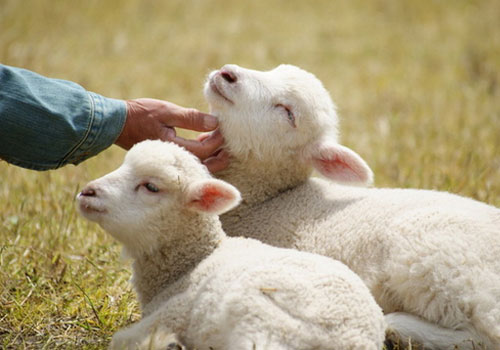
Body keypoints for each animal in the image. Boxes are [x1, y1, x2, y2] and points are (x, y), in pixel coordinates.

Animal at [75, 139, 386, 350]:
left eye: (151, 187)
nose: (87, 192)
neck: (192, 261)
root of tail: (353, 340)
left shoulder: (174, 311)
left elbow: (120, 339)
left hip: (260, 322)